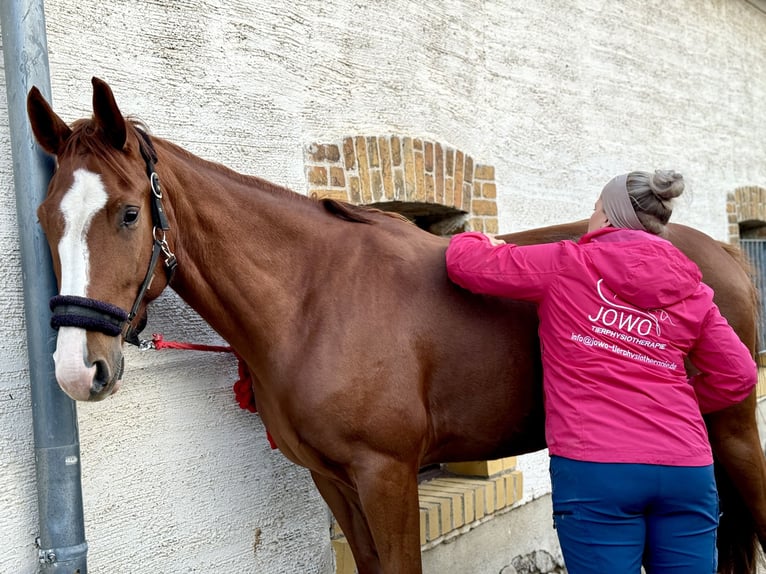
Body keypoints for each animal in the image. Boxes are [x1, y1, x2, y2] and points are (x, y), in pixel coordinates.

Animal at [27, 77, 764, 574]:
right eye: (43, 217)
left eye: (128, 213)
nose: (78, 369)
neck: (313, 299)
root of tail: (723, 255)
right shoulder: (333, 479)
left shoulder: (386, 476)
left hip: (732, 428)